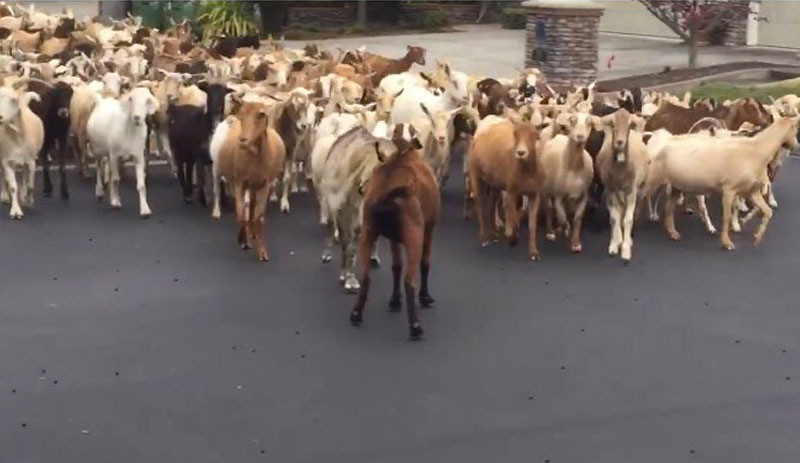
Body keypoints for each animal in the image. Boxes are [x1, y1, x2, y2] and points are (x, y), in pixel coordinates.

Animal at [352, 125, 440, 338]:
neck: (402, 154)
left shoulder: (393, 239)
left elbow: (396, 266)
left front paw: (394, 300)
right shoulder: (429, 230)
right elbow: (425, 264)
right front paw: (425, 297)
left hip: (367, 236)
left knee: (366, 277)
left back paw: (357, 314)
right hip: (415, 239)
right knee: (409, 281)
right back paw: (415, 325)